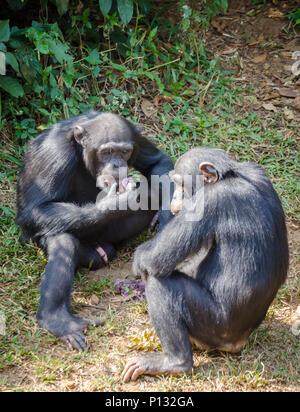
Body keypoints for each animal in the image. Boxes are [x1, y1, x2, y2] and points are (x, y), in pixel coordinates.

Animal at [17, 112, 173, 350]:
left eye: (124, 152)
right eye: (107, 152)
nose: (117, 164)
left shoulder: (134, 134)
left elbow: (158, 161)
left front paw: (164, 216)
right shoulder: (55, 154)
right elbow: (36, 208)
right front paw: (117, 203)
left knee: (151, 190)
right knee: (63, 242)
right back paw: (57, 319)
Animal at [121, 146, 288, 382]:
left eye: (181, 184)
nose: (174, 197)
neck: (230, 176)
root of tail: (238, 342)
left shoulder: (206, 202)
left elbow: (153, 259)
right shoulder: (260, 173)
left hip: (212, 328)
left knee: (160, 283)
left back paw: (175, 362)